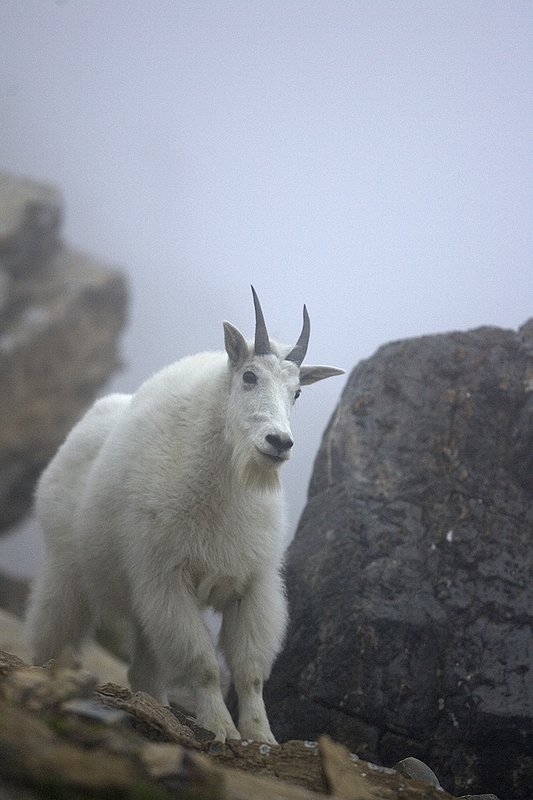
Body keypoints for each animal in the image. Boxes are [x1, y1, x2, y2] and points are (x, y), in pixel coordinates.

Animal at [26, 286, 344, 743]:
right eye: (249, 376)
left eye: (298, 391)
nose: (279, 442)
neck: (228, 480)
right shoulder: (169, 579)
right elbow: (204, 664)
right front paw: (221, 728)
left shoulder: (252, 585)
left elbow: (249, 672)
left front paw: (261, 736)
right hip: (65, 572)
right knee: (49, 636)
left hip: (139, 603)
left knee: (143, 670)